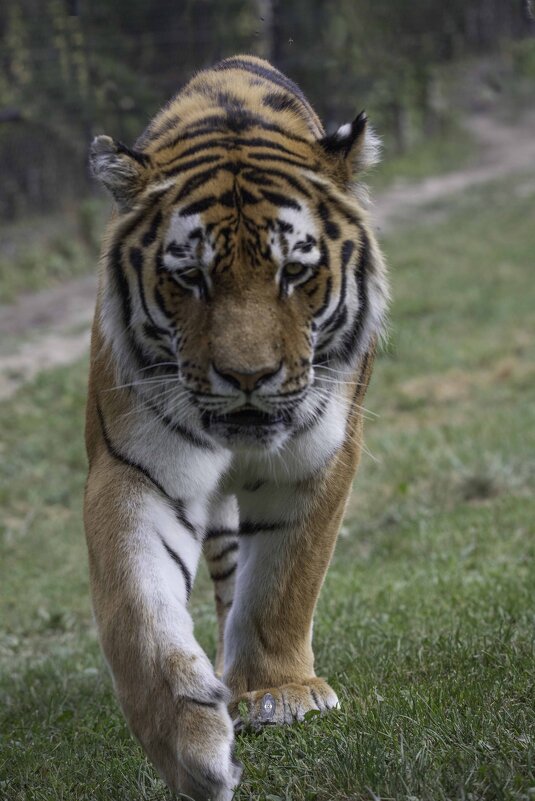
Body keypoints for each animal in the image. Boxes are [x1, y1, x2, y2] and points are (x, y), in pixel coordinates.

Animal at [85, 55, 388, 800]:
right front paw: (190, 743)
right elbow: (138, 607)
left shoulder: (317, 453)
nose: (248, 377)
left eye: (294, 272)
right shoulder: (134, 467)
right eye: (190, 278)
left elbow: (285, 575)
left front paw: (278, 694)